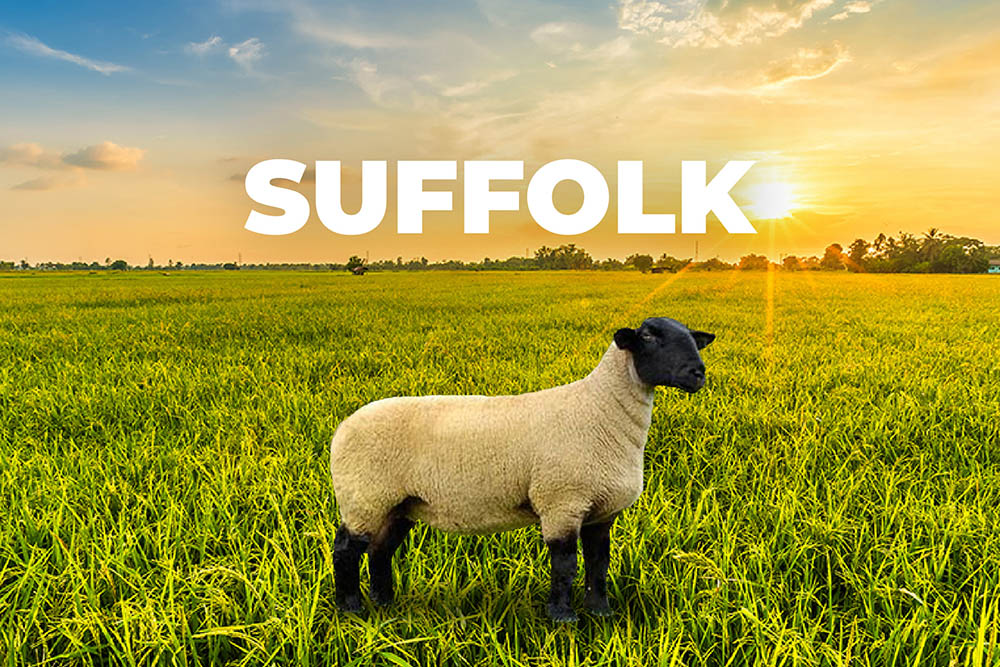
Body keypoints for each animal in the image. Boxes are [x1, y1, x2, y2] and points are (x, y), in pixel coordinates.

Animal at [329, 316, 715, 622]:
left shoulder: (601, 512)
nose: (698, 373)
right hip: (364, 496)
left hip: (398, 505)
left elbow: (598, 563)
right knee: (346, 550)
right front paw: (563, 618)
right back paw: (351, 609)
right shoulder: (561, 502)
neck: (601, 409)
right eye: (649, 336)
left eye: (692, 338)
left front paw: (600, 613)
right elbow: (566, 565)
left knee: (380, 551)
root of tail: (343, 427)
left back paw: (385, 603)